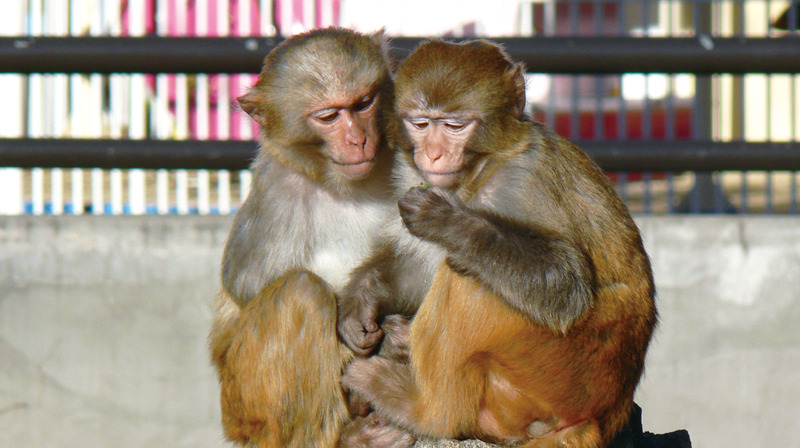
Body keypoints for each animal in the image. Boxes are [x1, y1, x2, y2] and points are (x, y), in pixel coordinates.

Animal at [340, 39, 660, 448]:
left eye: (456, 126)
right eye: (421, 123)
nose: (433, 154)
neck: (482, 169)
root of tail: (601, 419)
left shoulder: (521, 183)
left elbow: (565, 284)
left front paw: (449, 222)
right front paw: (361, 300)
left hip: (556, 374)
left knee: (469, 278)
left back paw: (425, 412)